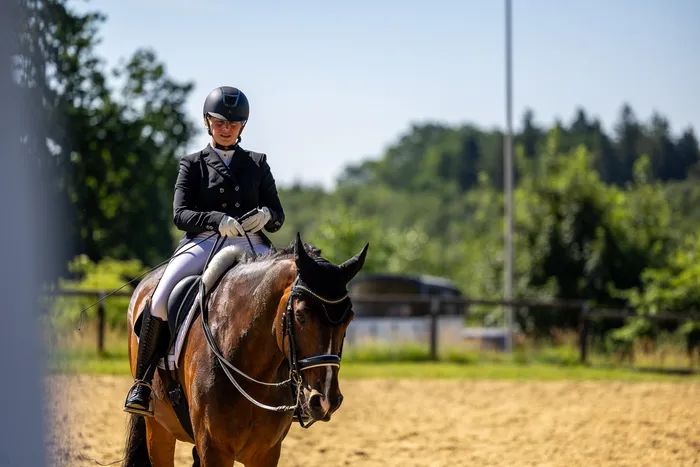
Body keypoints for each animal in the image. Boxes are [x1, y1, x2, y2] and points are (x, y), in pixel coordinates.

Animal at [123, 232, 369, 466]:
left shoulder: (266, 453)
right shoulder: (214, 450)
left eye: (349, 319)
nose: (326, 401)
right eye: (300, 316)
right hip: (157, 428)